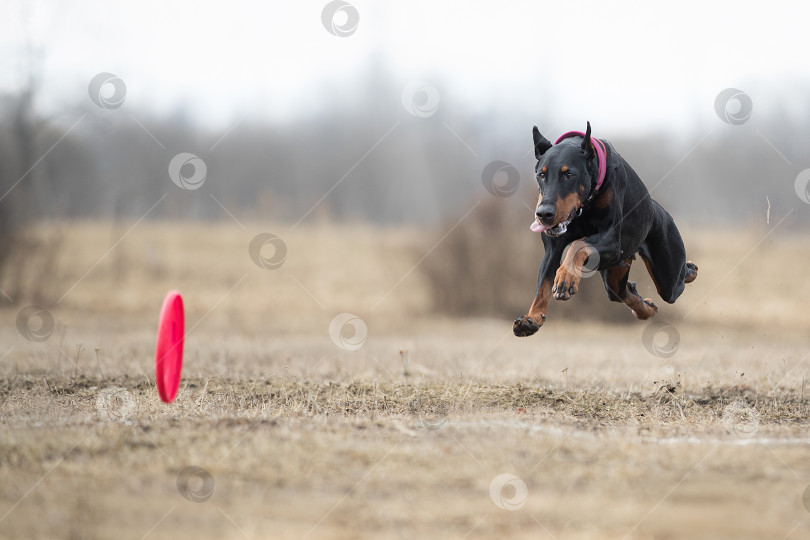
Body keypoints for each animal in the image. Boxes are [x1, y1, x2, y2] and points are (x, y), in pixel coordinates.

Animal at [512, 121, 696, 338]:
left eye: (569, 174)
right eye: (541, 174)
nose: (543, 214)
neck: (586, 205)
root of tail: (658, 209)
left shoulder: (612, 240)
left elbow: (578, 244)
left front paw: (566, 277)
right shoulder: (553, 248)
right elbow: (544, 282)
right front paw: (532, 317)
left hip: (667, 275)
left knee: (676, 282)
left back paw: (691, 269)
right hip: (615, 271)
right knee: (623, 291)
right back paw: (648, 308)